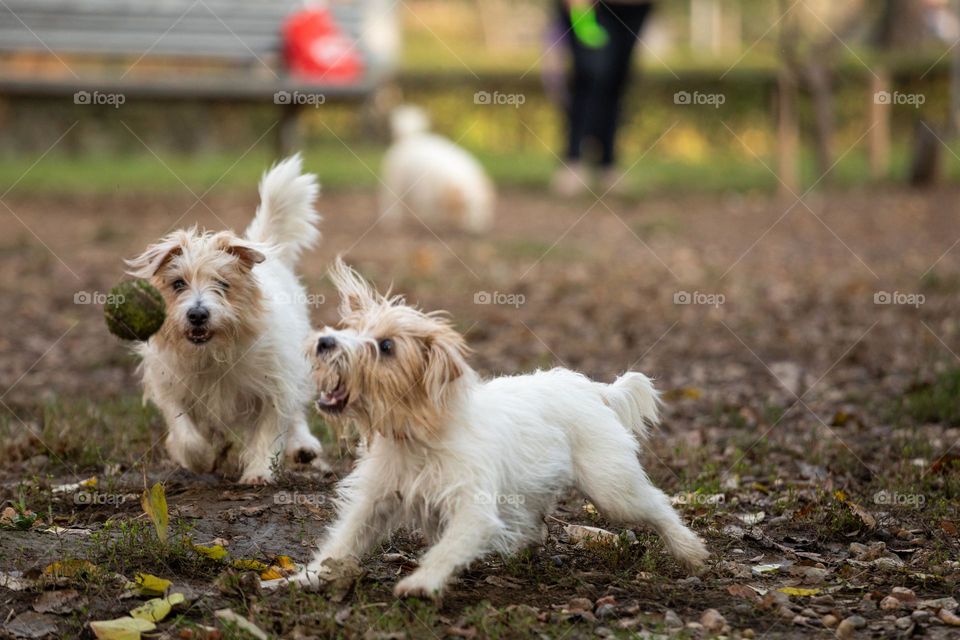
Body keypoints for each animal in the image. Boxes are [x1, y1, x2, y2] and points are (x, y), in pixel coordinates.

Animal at [127, 156, 324, 484]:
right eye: (178, 284)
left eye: (222, 284)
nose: (197, 314)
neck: (212, 353)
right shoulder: (171, 385)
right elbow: (185, 432)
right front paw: (202, 458)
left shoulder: (275, 384)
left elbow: (270, 429)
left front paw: (259, 471)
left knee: (295, 414)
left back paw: (303, 445)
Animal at [288, 258, 708, 596]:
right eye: (351, 327)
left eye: (387, 346)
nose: (325, 341)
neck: (415, 433)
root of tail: (593, 389)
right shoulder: (373, 501)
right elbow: (342, 543)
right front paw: (302, 578)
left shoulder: (473, 508)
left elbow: (449, 546)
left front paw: (422, 582)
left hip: (612, 489)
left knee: (658, 504)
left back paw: (689, 550)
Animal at [378, 105, 496, 235]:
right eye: (466, 207)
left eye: (482, 208)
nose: (476, 231)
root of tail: (409, 138)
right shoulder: (427, 191)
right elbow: (432, 212)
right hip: (393, 182)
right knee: (390, 202)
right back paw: (392, 224)